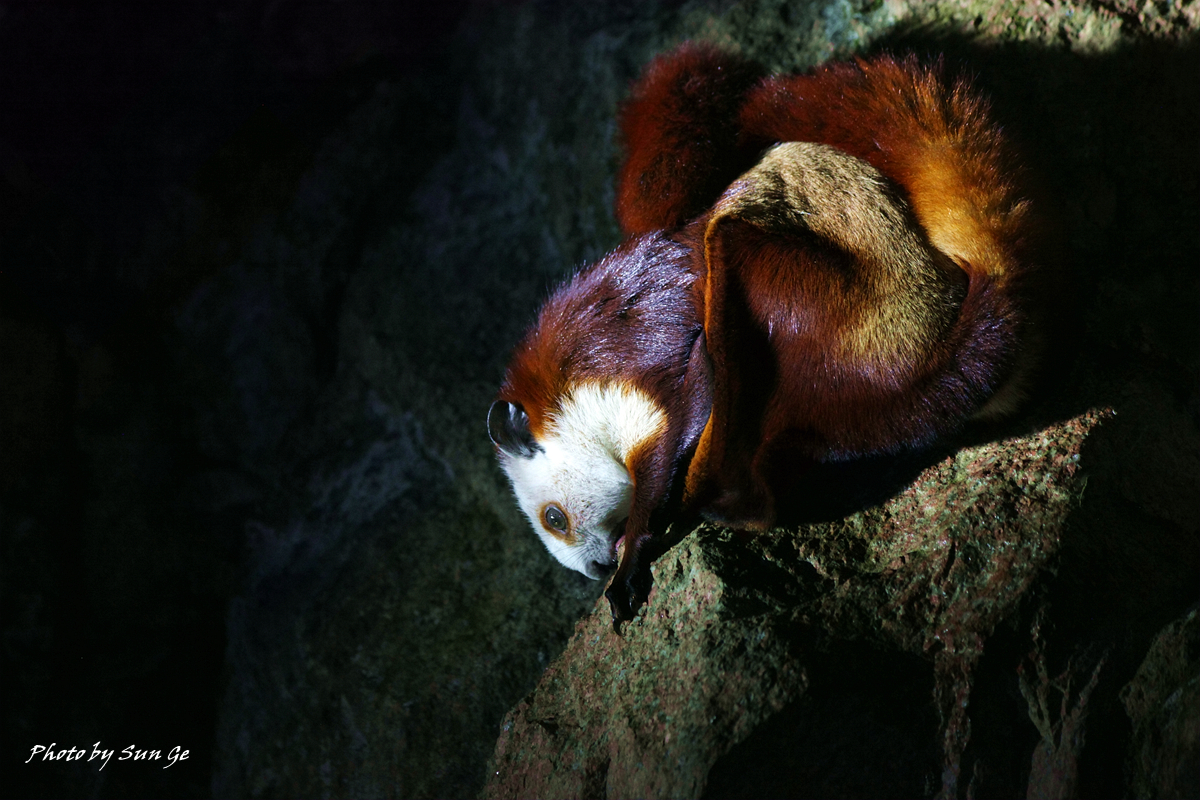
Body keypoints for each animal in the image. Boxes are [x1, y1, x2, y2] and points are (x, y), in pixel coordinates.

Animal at [488, 43, 1041, 624]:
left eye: (553, 517)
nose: (595, 570)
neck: (569, 388)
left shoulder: (647, 369)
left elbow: (674, 436)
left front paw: (630, 562)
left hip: (757, 265)